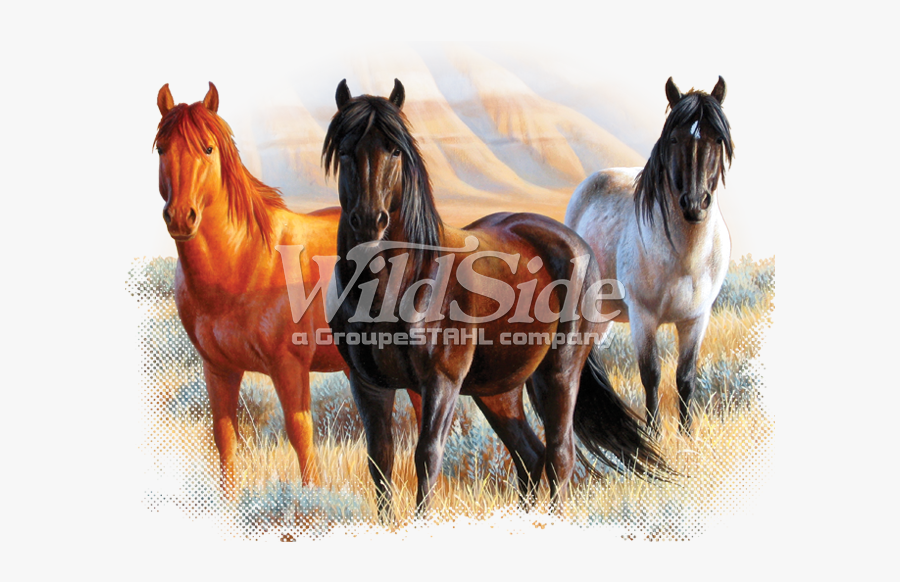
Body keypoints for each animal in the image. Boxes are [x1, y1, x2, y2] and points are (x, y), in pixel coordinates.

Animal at [153, 82, 356, 495]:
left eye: (208, 148)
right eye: (162, 148)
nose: (181, 217)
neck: (242, 265)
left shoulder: (289, 366)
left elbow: (300, 435)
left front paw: (311, 501)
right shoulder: (218, 369)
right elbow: (225, 437)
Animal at [322, 78, 667, 519]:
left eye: (395, 150)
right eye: (345, 150)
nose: (370, 222)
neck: (396, 283)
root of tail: (571, 240)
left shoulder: (441, 382)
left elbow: (426, 456)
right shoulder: (368, 384)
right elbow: (380, 462)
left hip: (557, 374)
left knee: (559, 456)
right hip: (498, 390)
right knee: (530, 457)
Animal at [565, 76, 734, 434]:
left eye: (717, 138)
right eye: (673, 138)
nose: (695, 204)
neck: (686, 257)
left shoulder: (696, 319)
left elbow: (685, 378)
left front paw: (686, 435)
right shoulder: (644, 319)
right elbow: (652, 375)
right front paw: (654, 433)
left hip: (603, 316)